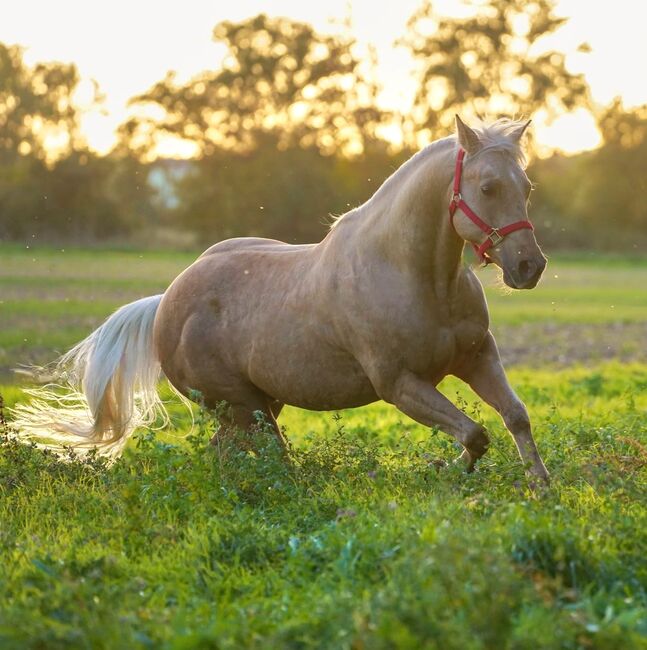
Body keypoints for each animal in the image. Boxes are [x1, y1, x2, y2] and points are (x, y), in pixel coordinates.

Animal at [10, 116, 548, 480]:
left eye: (526, 187)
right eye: (487, 187)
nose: (530, 267)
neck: (416, 277)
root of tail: (167, 299)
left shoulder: (477, 357)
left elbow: (514, 417)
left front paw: (539, 488)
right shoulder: (399, 383)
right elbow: (475, 434)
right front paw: (446, 469)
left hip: (256, 405)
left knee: (226, 452)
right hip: (244, 407)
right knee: (275, 457)